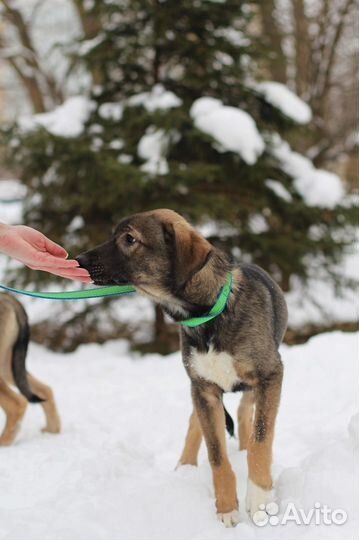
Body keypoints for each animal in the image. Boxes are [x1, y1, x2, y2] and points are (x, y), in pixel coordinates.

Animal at [0, 294, 60, 446]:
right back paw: (52, 431)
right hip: (9, 367)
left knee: (17, 404)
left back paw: (3, 444)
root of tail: (8, 298)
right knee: (45, 390)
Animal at [77, 210, 288, 528]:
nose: (79, 260)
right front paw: (226, 508)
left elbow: (261, 440)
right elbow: (216, 454)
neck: (207, 316)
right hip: (198, 388)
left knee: (245, 412)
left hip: (256, 382)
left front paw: (260, 500)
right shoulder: (203, 388)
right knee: (196, 423)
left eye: (130, 239)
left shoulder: (269, 375)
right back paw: (185, 466)